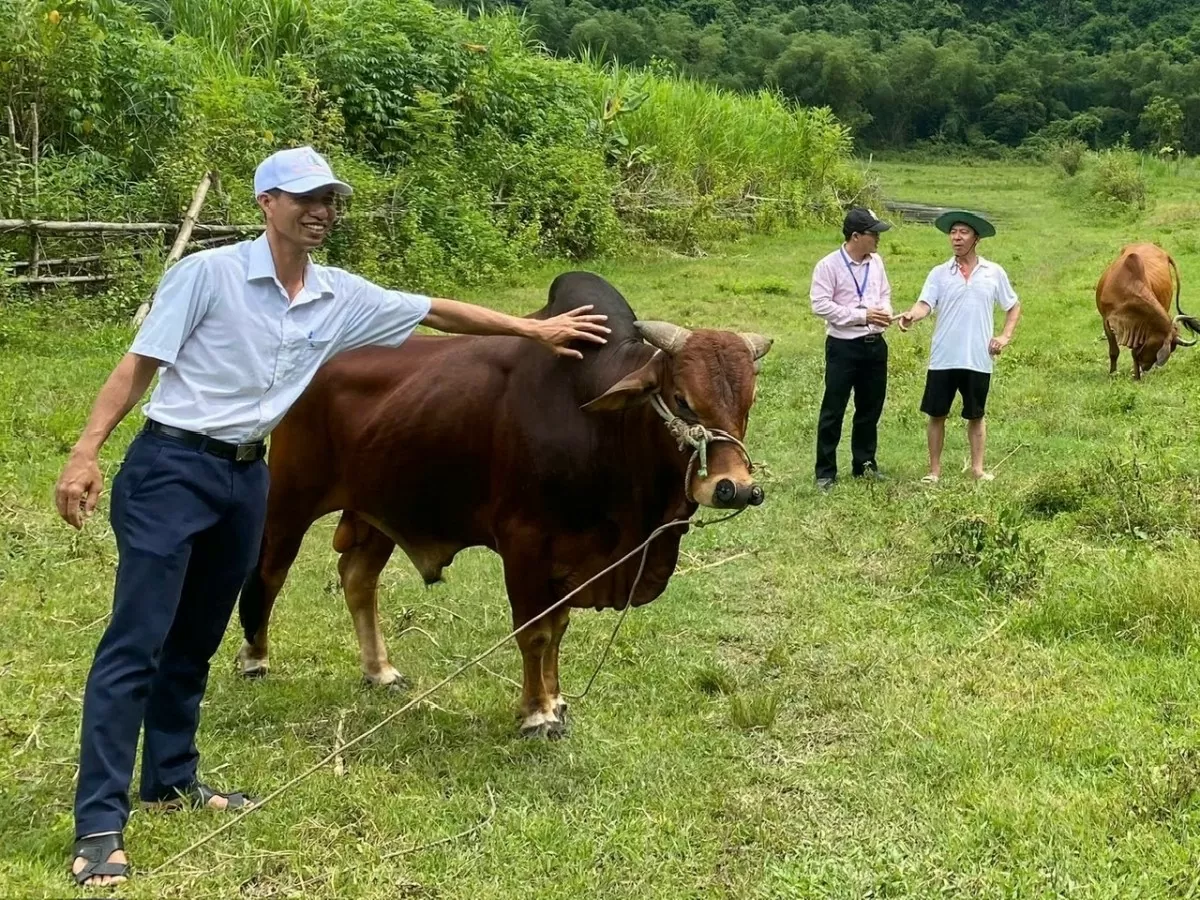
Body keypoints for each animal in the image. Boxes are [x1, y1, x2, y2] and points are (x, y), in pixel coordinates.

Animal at [234, 271, 772, 734]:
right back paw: (255, 658)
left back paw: (380, 670)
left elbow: (557, 628)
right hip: (290, 495)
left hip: (379, 509)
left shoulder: (570, 560)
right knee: (270, 570)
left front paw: (556, 701)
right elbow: (535, 632)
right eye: (682, 399)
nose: (734, 487)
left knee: (357, 579)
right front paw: (536, 715)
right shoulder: (525, 543)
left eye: (746, 403)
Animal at [1099, 241, 1200, 379]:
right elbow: (1114, 351)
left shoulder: (1139, 327)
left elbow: (1134, 352)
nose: (1146, 368)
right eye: (1171, 348)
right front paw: (1113, 373)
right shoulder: (1107, 321)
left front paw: (1137, 376)